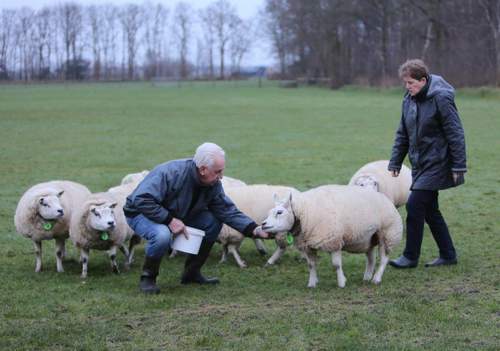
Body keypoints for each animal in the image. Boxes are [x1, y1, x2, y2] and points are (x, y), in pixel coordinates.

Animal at [262, 184, 402, 288]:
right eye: (269, 212)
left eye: (280, 212)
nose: (263, 225)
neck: (304, 213)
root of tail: (385, 198)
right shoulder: (308, 245)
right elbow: (311, 265)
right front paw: (312, 283)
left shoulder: (333, 241)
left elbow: (336, 265)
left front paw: (341, 283)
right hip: (369, 238)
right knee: (371, 258)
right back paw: (367, 277)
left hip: (388, 233)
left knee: (384, 259)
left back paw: (376, 278)